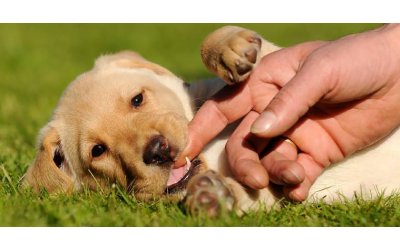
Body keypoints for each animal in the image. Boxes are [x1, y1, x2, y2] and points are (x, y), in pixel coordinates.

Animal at [22, 26, 400, 216]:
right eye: (98, 151)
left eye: (137, 100)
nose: (157, 151)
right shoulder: (277, 196)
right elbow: (248, 196)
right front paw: (213, 196)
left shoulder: (281, 68)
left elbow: (246, 50)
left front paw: (229, 48)